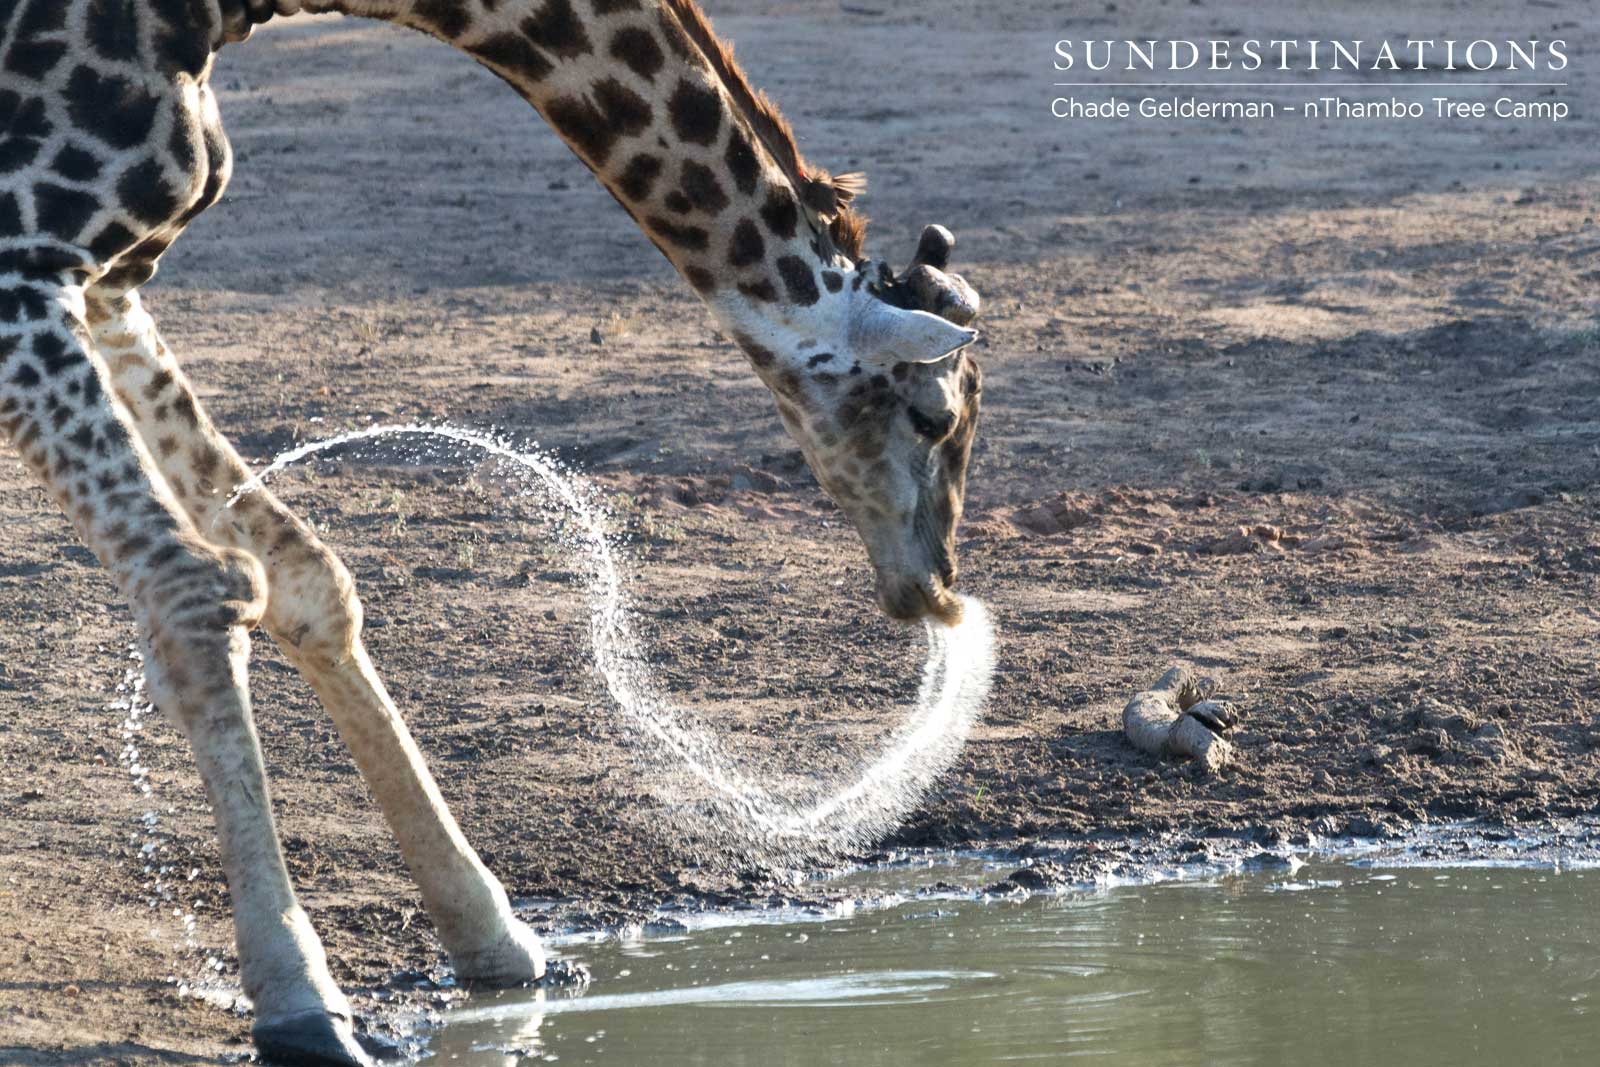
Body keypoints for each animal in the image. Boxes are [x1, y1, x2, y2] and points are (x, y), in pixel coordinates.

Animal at [0, 0, 984, 1063]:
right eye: (935, 418)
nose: (933, 586)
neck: (212, 18)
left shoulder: (108, 280)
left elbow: (307, 576)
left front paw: (494, 935)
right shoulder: (23, 260)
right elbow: (197, 586)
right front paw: (301, 995)